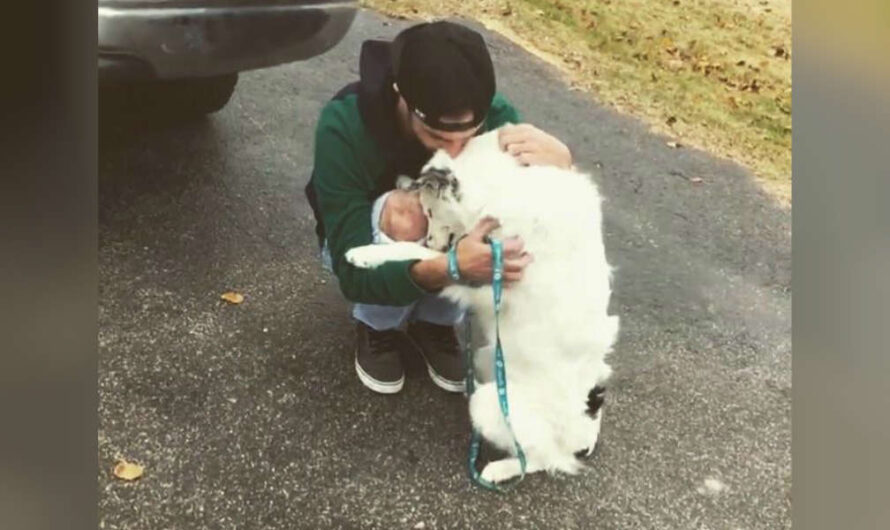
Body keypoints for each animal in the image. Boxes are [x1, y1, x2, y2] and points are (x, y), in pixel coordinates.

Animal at [346, 129, 616, 482]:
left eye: (430, 212)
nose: (430, 238)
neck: (508, 186)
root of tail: (583, 438)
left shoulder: (483, 280)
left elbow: (418, 253)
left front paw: (366, 254)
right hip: (488, 356)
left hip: (492, 406)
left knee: (540, 459)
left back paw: (499, 469)